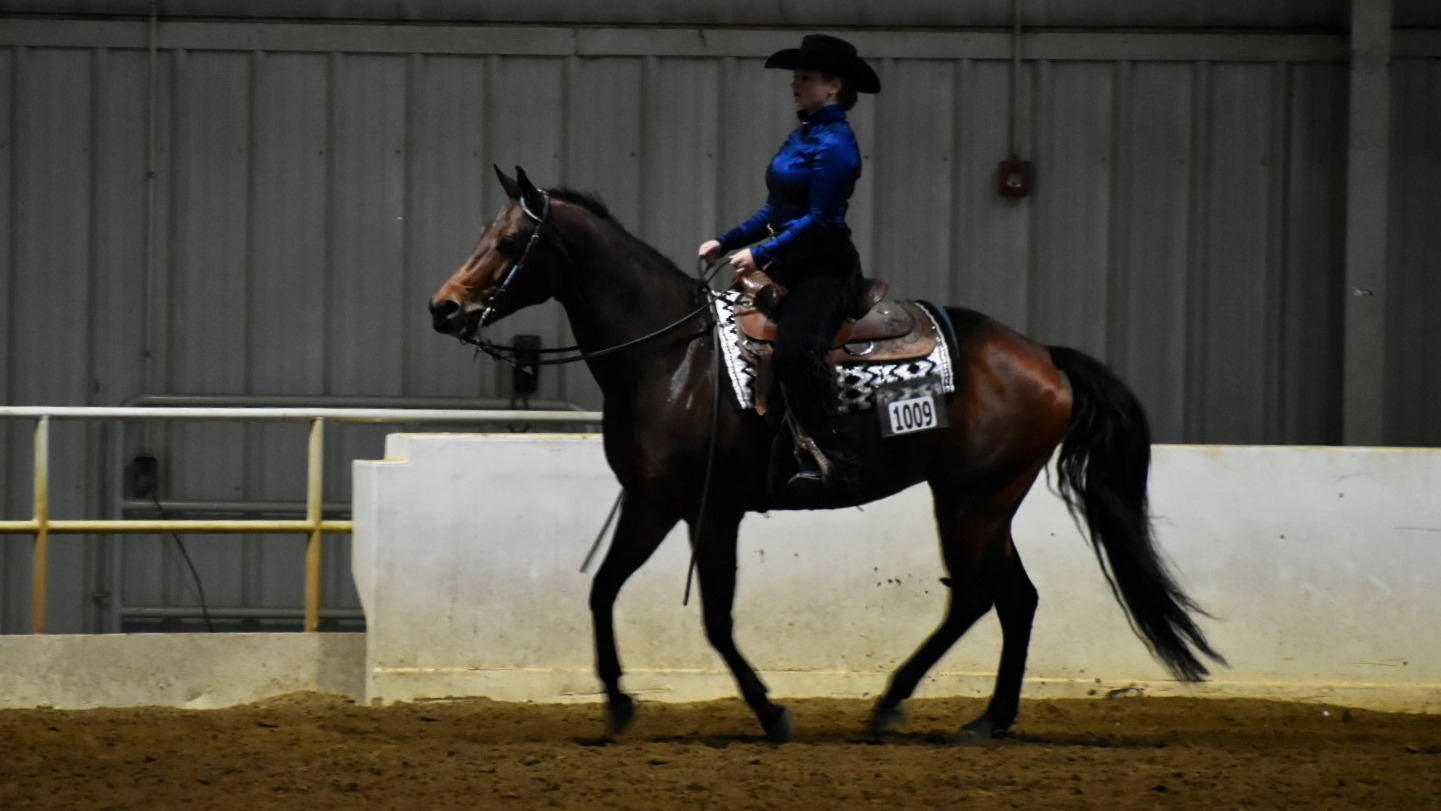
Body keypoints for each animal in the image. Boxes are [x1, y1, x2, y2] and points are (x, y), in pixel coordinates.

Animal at [429, 166, 1224, 743]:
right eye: (482, 231)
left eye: (510, 243)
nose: (444, 307)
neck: (669, 357)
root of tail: (1045, 358)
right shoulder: (654, 504)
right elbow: (601, 591)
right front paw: (620, 705)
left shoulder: (714, 513)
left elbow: (715, 619)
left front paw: (771, 713)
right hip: (983, 502)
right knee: (1015, 598)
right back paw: (987, 720)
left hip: (970, 499)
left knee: (976, 595)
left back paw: (892, 704)